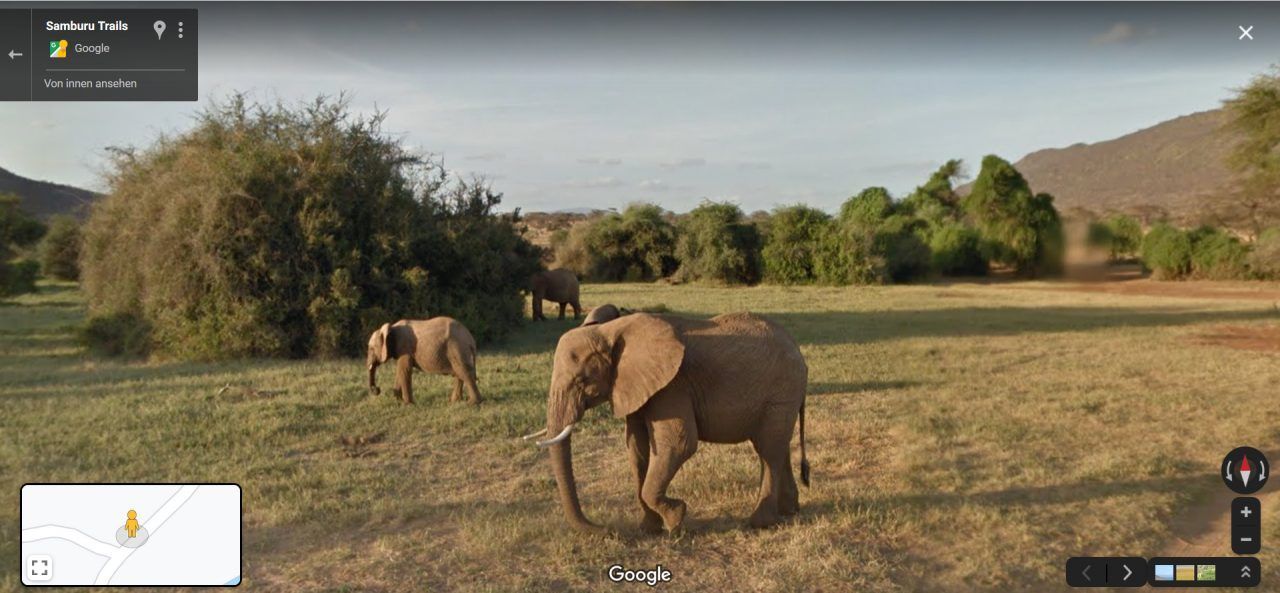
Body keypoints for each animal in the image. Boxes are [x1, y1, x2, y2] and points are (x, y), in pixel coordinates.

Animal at [522, 311, 808, 532]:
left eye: (582, 381)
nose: (607, 530)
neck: (610, 331)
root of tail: (798, 351)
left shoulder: (672, 386)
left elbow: (680, 444)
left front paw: (675, 522)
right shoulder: (637, 387)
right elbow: (637, 449)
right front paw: (648, 529)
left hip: (782, 390)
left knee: (768, 450)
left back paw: (760, 523)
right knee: (778, 446)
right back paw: (790, 510)